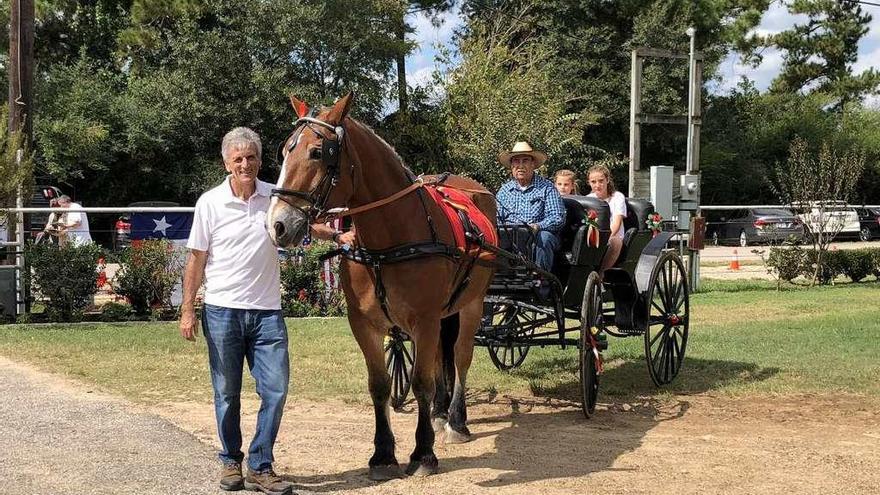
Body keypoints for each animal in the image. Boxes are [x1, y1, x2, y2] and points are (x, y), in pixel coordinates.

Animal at [268, 93, 496, 480]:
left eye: (317, 152)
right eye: (285, 150)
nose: (278, 225)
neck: (390, 240)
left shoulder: (425, 320)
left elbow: (421, 382)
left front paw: (423, 453)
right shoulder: (365, 323)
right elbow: (380, 385)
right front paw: (383, 454)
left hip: (472, 304)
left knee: (461, 356)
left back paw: (455, 421)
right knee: (441, 359)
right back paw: (438, 412)